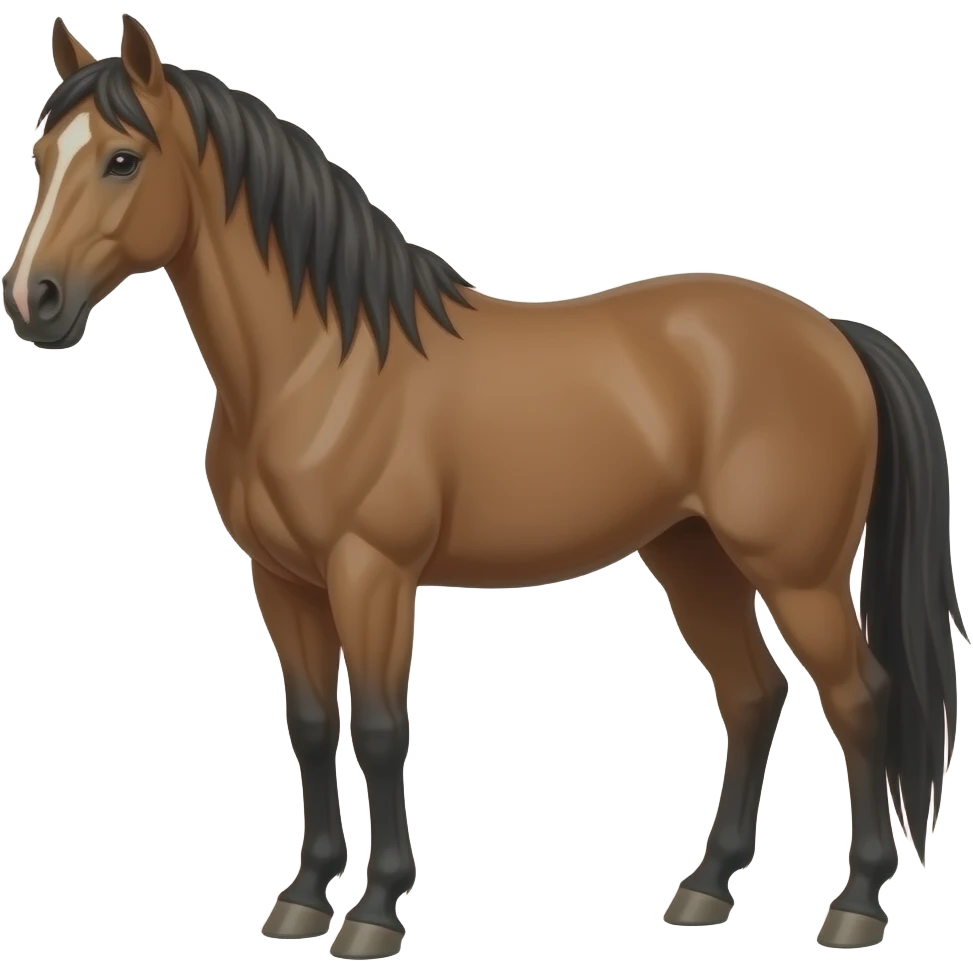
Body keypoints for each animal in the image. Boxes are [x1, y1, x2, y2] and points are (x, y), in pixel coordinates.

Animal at [2, 15, 964, 958]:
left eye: (122, 159)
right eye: (42, 157)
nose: (33, 300)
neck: (319, 365)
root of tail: (832, 334)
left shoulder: (372, 574)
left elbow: (380, 728)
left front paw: (374, 910)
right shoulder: (281, 582)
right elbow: (311, 727)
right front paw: (303, 898)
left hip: (797, 575)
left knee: (859, 697)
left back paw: (854, 904)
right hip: (693, 557)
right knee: (752, 694)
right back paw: (703, 887)